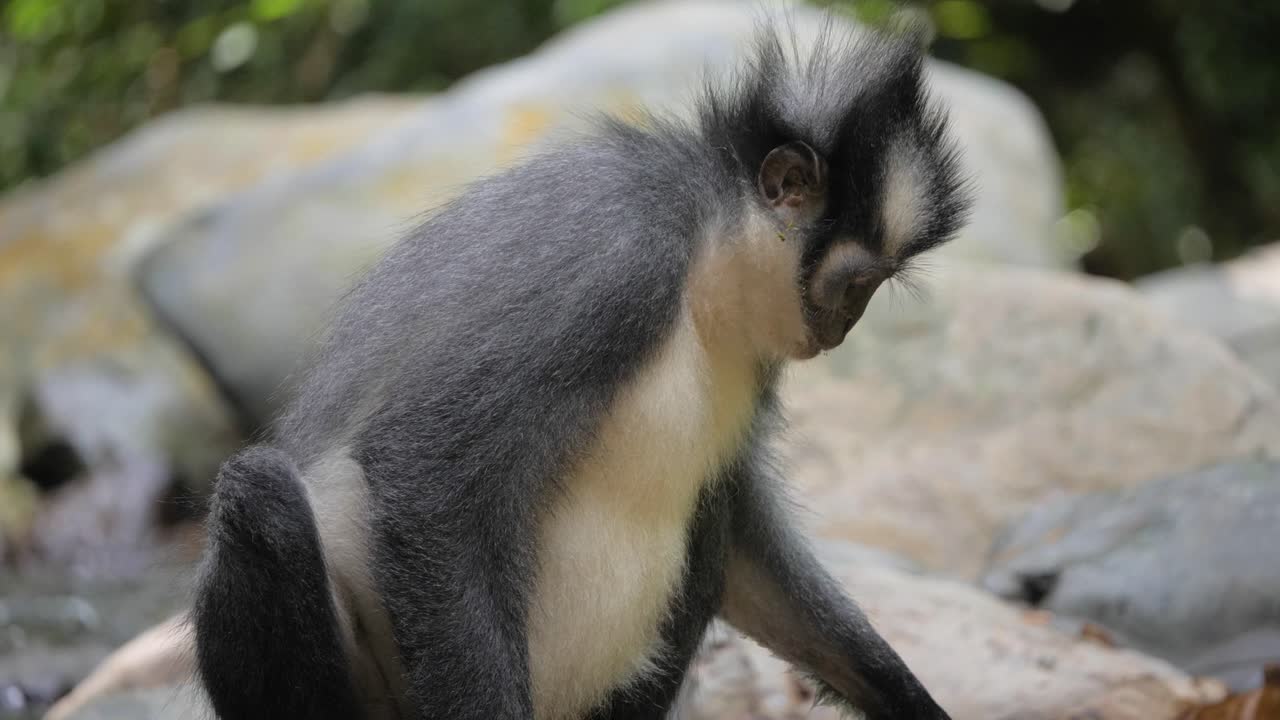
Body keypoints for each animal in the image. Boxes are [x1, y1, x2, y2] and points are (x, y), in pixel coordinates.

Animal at [191, 14, 971, 720]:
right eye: (856, 284)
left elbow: (748, 545)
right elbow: (423, 471)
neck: (701, 265)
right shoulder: (615, 260)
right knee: (260, 490)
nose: (844, 325)